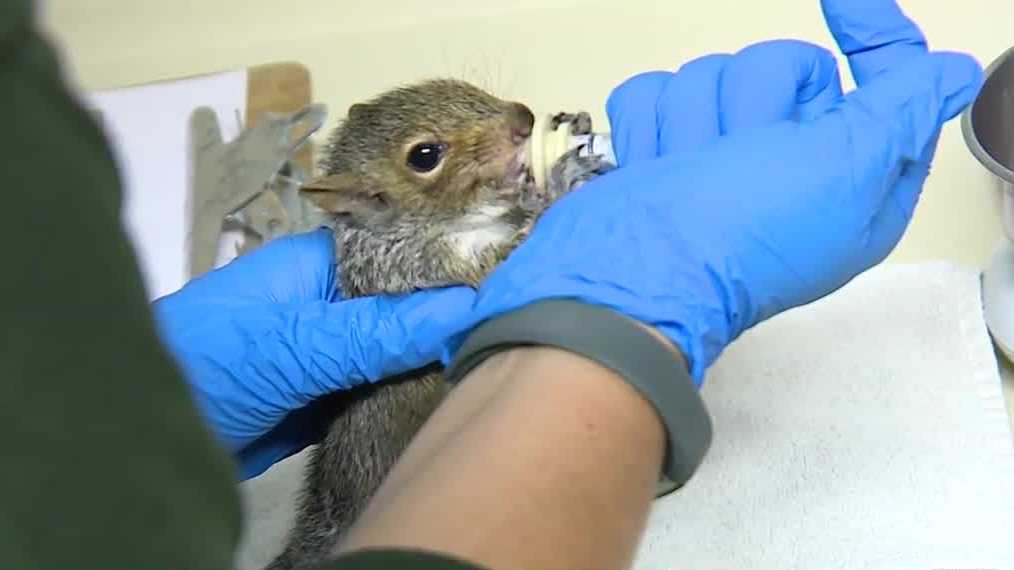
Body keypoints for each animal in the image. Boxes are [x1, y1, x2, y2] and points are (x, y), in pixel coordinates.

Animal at [266, 78, 613, 570]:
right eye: (424, 156)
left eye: (463, 86)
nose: (523, 119)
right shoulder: (422, 265)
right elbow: (509, 254)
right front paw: (560, 178)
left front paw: (571, 131)